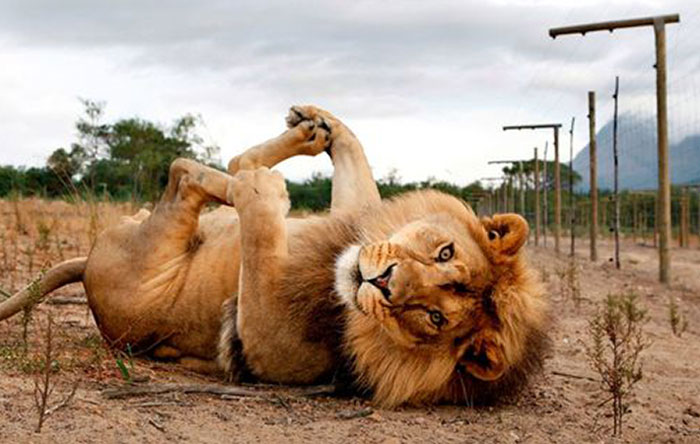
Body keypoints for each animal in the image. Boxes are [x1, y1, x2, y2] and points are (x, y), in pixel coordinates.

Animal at [0, 105, 548, 407]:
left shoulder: (260, 340)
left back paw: (249, 176)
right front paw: (324, 127)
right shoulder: (351, 220)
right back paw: (305, 134)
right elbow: (355, 174)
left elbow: (260, 230)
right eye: (444, 252)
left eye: (435, 318)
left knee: (186, 172)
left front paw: (263, 190)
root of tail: (87, 268)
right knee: (213, 169)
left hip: (153, 249)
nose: (383, 281)